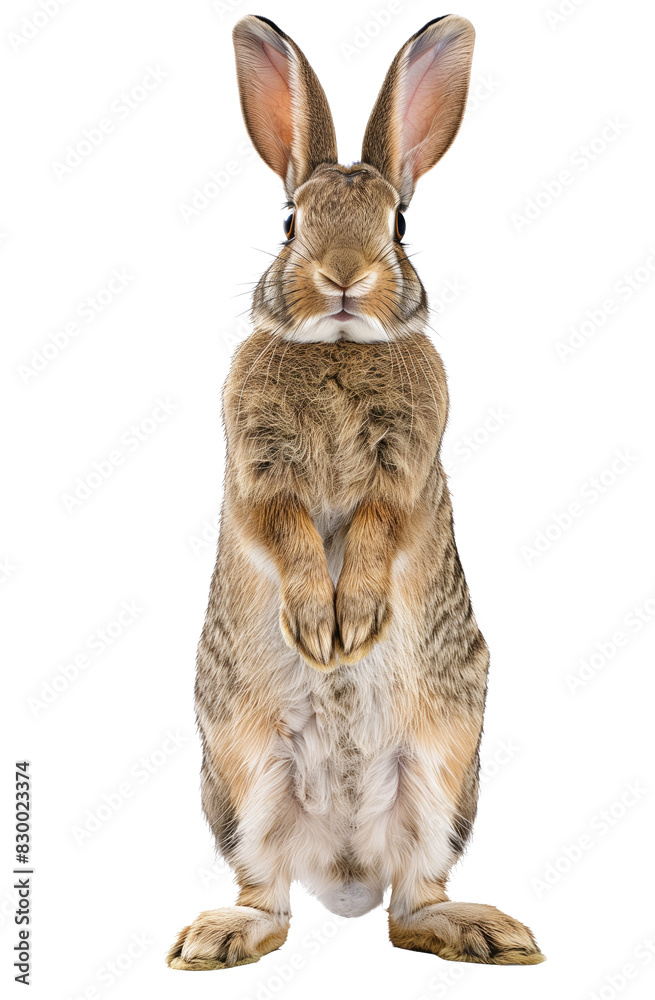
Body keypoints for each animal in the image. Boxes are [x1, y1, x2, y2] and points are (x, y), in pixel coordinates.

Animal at [167, 14, 545, 970]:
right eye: (289, 222)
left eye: (399, 224)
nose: (344, 276)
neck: (337, 348)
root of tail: (341, 870)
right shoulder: (256, 471)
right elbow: (287, 529)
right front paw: (319, 628)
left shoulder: (407, 467)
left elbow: (379, 524)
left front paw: (353, 623)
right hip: (244, 778)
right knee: (268, 897)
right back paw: (216, 939)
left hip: (442, 774)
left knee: (411, 904)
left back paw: (486, 932)